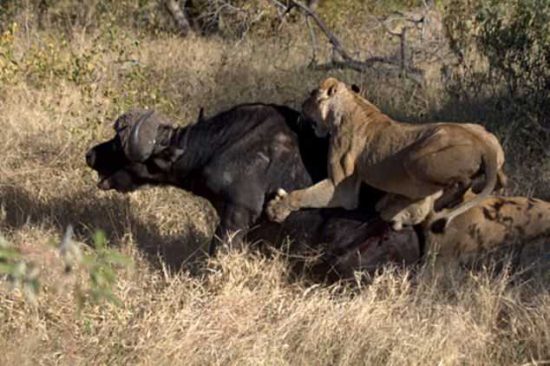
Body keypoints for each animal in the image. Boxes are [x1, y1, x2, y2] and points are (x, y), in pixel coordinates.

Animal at [268, 77, 508, 232]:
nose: (301, 105)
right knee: (500, 179)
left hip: (414, 158)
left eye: (311, 95)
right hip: (485, 137)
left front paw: (277, 208)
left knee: (462, 182)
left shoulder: (342, 189)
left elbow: (304, 195)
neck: (353, 103)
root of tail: (483, 145)